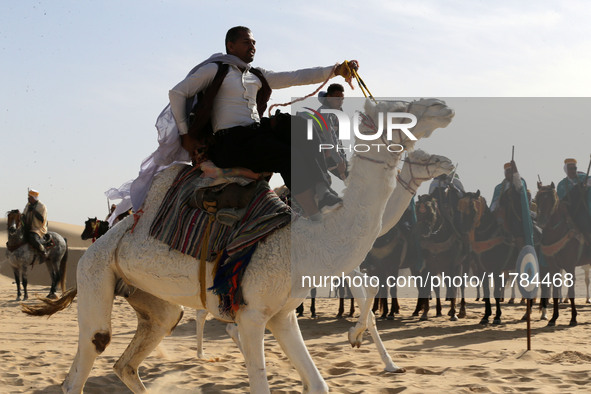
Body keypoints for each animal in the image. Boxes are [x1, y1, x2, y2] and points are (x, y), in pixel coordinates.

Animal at [25, 97, 456, 392]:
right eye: (397, 108)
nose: (442, 107)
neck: (305, 242)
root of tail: (103, 238)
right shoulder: (251, 312)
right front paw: (364, 344)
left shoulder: (281, 315)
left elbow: (319, 383)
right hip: (96, 274)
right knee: (86, 360)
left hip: (152, 299)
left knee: (133, 356)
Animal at [536, 184, 588, 326]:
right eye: (537, 198)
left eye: (552, 200)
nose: (541, 221)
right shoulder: (554, 268)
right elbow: (554, 291)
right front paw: (553, 318)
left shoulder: (570, 267)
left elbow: (571, 292)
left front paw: (573, 319)